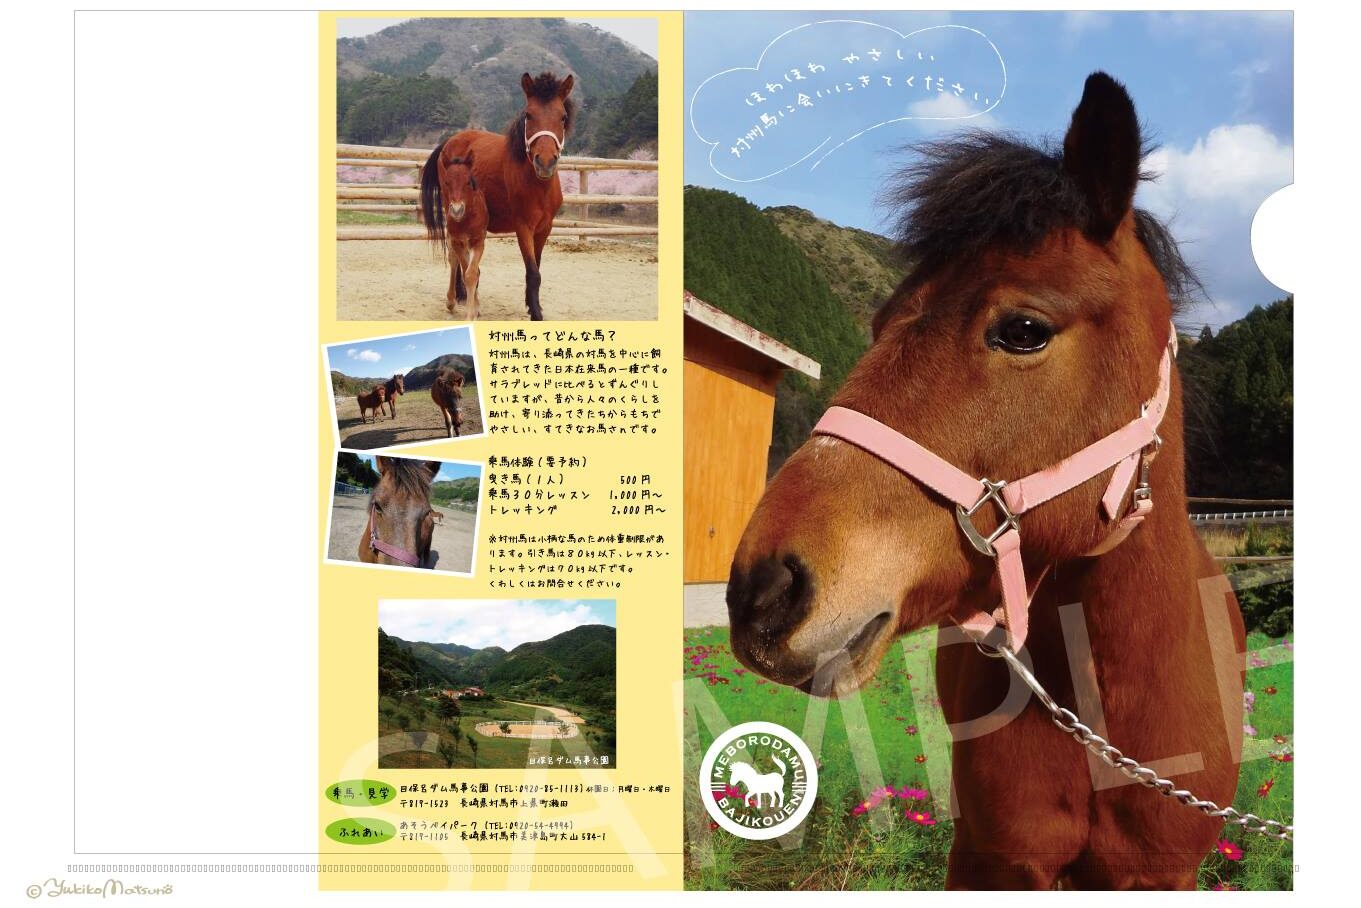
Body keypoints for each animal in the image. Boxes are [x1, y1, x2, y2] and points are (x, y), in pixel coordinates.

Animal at [425, 152, 489, 319]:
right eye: (447, 182)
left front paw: (472, 312)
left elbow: (472, 273)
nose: (456, 210)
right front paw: (471, 311)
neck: (466, 218)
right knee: (453, 260)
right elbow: (465, 271)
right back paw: (450, 301)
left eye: (468, 182)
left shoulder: (478, 242)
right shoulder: (457, 242)